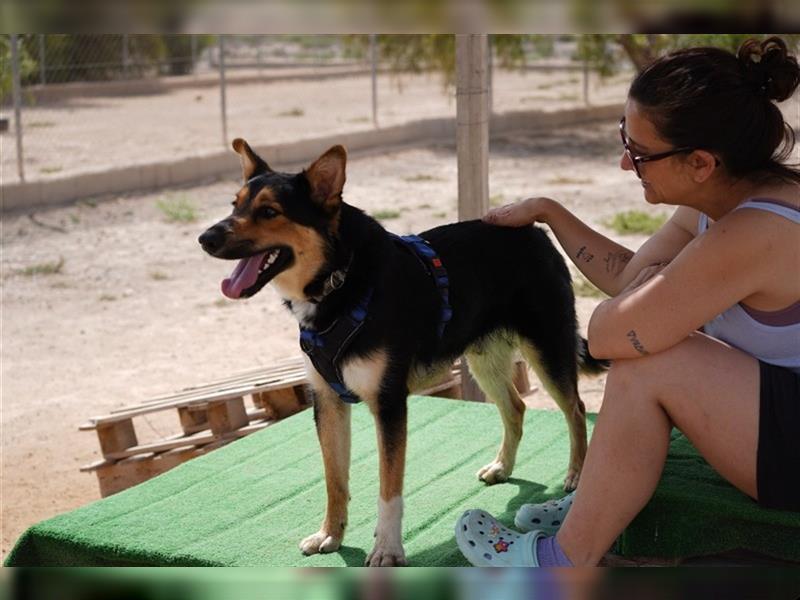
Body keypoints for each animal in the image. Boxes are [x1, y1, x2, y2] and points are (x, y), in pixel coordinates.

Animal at [200, 141, 608, 568]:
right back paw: (502, 466)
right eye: (234, 204)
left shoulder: (390, 403)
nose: (205, 238)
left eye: (268, 211)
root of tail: (535, 232)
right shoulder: (327, 401)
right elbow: (333, 479)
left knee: (576, 409)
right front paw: (330, 534)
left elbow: (388, 488)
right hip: (484, 360)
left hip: (547, 350)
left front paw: (388, 550)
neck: (341, 283)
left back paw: (576, 474)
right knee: (516, 407)